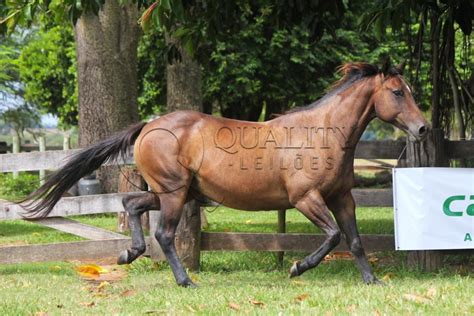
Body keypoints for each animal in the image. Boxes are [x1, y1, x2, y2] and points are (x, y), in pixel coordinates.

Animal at [20, 61, 430, 286]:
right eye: (397, 92)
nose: (423, 128)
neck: (323, 133)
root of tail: (150, 125)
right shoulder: (305, 199)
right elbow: (332, 237)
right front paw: (297, 267)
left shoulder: (341, 198)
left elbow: (355, 241)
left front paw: (372, 281)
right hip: (173, 193)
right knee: (164, 234)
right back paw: (185, 281)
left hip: (173, 191)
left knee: (132, 204)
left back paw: (128, 254)